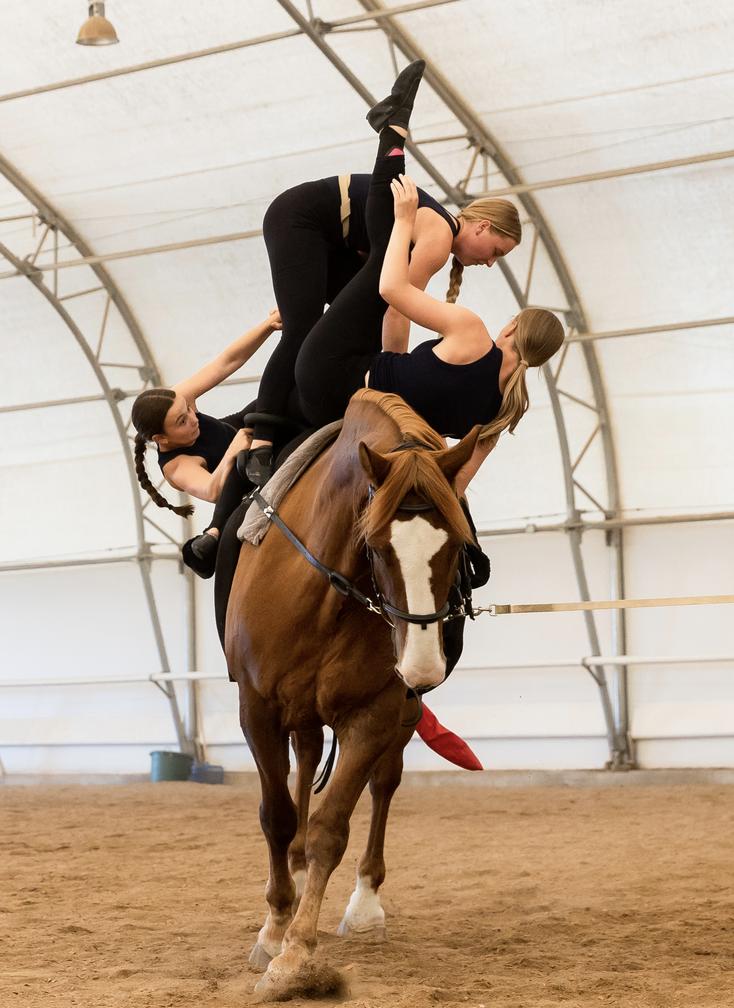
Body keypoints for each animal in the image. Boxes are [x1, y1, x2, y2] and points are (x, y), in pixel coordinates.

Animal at [224, 388, 480, 999]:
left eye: (458, 545)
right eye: (375, 543)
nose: (422, 664)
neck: (323, 592)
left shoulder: (374, 712)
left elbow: (331, 828)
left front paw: (295, 956)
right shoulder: (257, 710)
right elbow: (277, 815)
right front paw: (274, 929)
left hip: (395, 715)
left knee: (382, 784)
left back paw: (364, 904)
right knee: (304, 764)